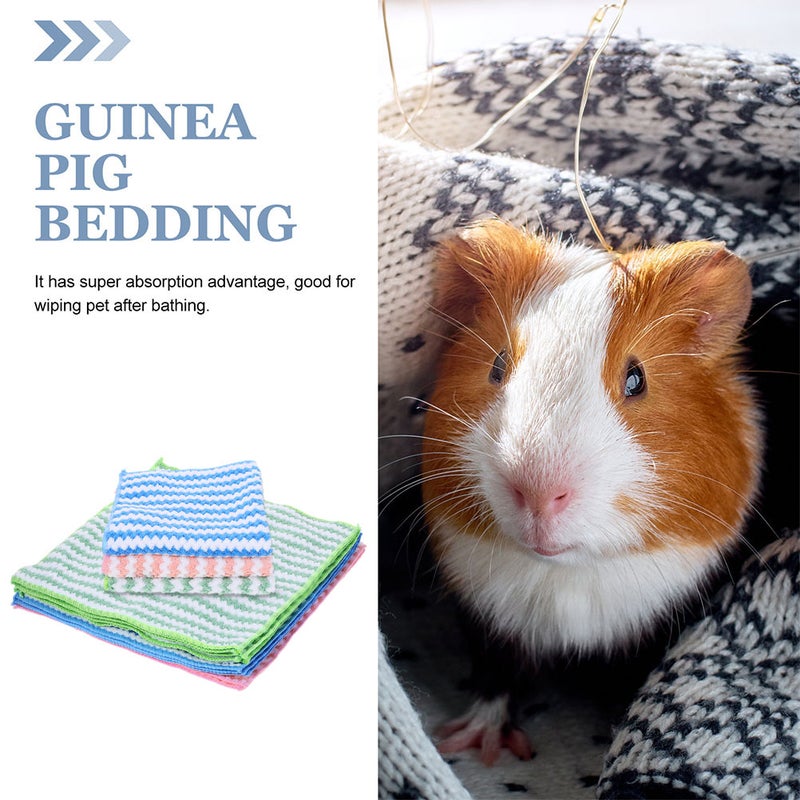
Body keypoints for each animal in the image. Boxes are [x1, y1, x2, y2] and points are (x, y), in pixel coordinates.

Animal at [420, 219, 762, 764]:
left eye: (637, 378)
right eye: (497, 366)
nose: (540, 492)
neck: (566, 575)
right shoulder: (489, 621)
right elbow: (496, 676)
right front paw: (478, 744)